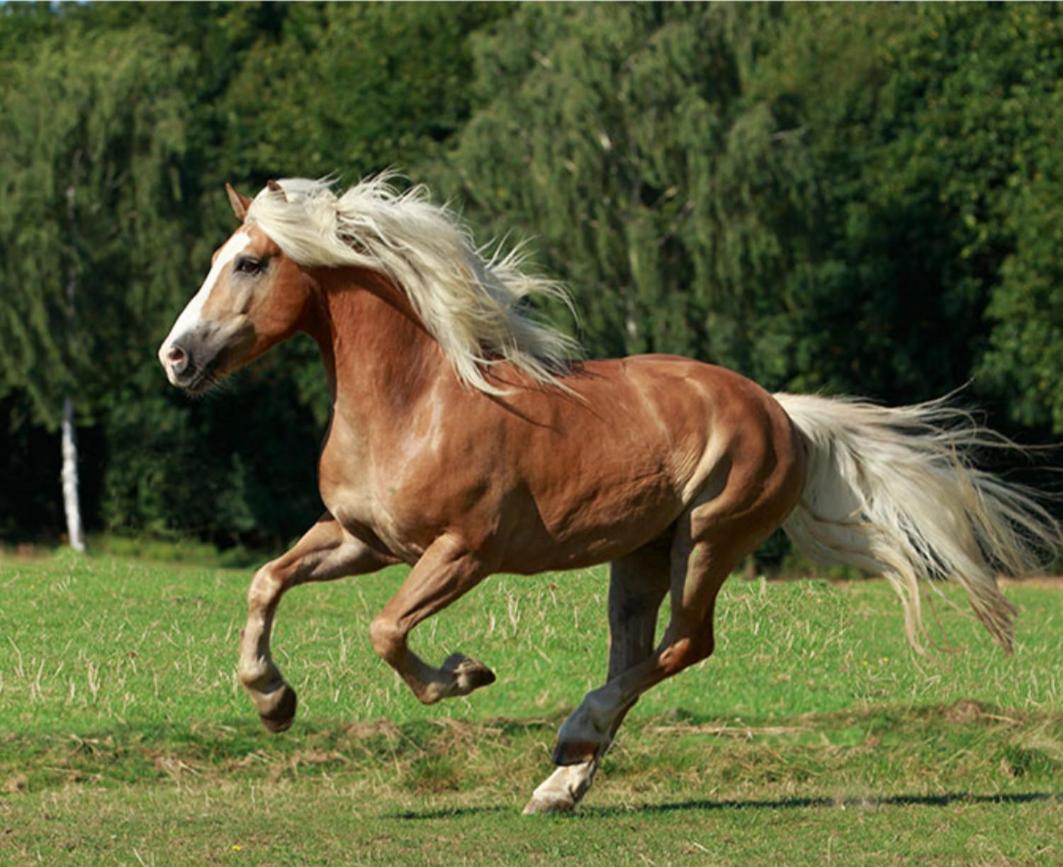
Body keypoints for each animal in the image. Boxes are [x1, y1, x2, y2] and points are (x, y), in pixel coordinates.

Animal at [155, 176, 1054, 811]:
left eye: (248, 261)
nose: (175, 356)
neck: (417, 403)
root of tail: (782, 413)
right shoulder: (359, 537)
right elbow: (266, 580)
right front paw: (273, 702)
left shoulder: (463, 552)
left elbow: (384, 631)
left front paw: (465, 673)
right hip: (640, 555)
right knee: (637, 652)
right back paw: (561, 782)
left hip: (708, 537)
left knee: (685, 646)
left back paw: (570, 738)